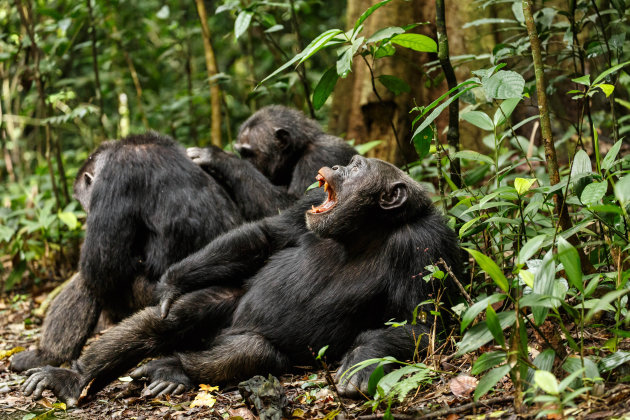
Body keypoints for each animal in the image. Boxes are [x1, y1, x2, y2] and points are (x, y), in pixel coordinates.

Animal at [12, 131, 244, 370]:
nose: (86, 214)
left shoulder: (116, 176)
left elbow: (100, 268)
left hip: (143, 300)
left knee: (88, 282)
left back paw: (46, 356)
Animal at [188, 104, 358, 220]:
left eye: (248, 154)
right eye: (241, 153)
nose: (245, 160)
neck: (297, 154)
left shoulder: (320, 156)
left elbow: (289, 206)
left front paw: (216, 156)